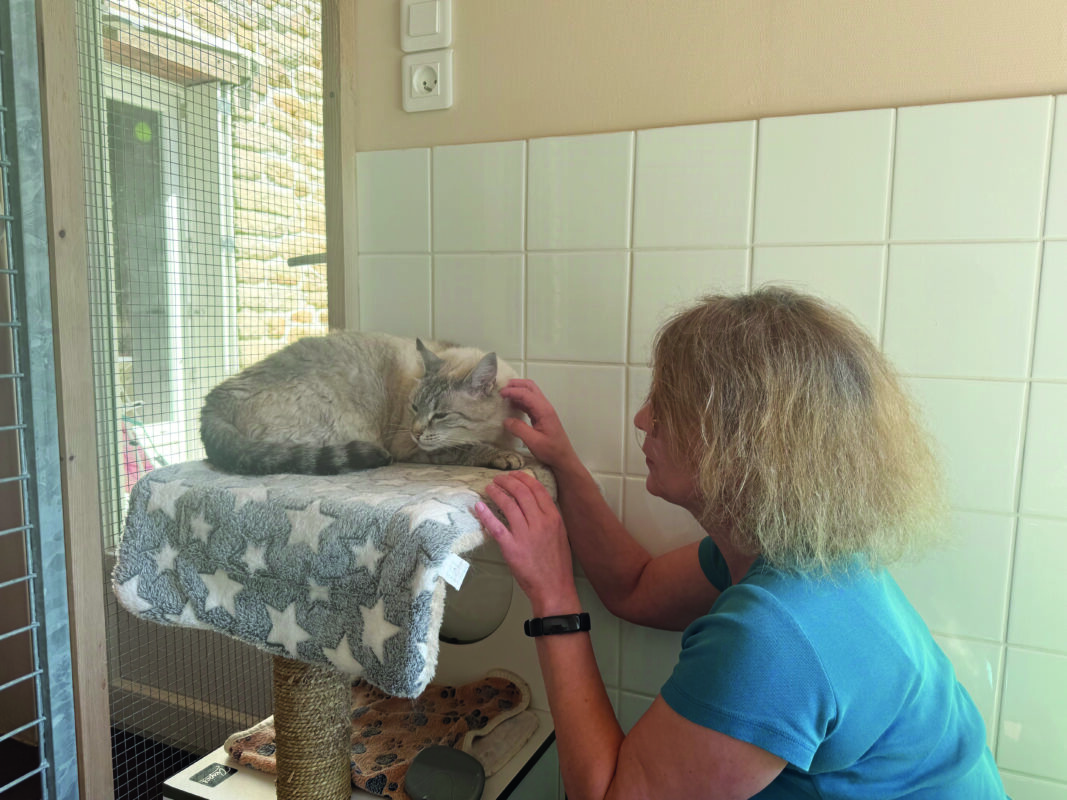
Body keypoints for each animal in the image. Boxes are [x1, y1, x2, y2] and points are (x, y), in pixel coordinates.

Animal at [199, 332, 526, 475]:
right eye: (414, 409)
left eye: (441, 415)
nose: (417, 431)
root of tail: (215, 397)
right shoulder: (409, 447)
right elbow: (464, 449)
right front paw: (502, 456)